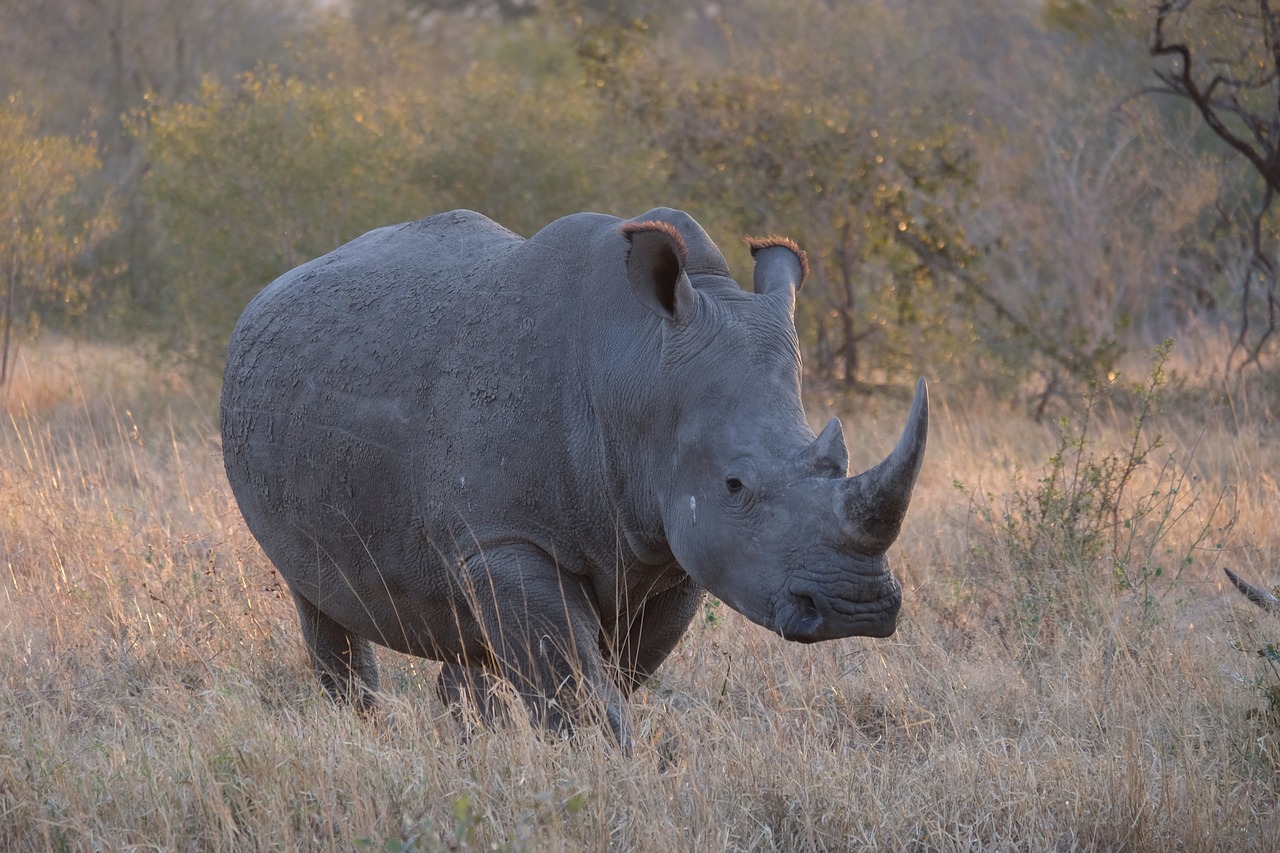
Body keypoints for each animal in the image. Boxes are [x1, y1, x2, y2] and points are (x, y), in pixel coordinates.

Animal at [215, 207, 926, 742]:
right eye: (735, 485)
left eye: (835, 461)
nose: (856, 607)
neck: (636, 367)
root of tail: (270, 290)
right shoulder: (508, 537)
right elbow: (580, 687)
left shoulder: (674, 552)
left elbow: (605, 673)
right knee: (318, 603)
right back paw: (366, 735)